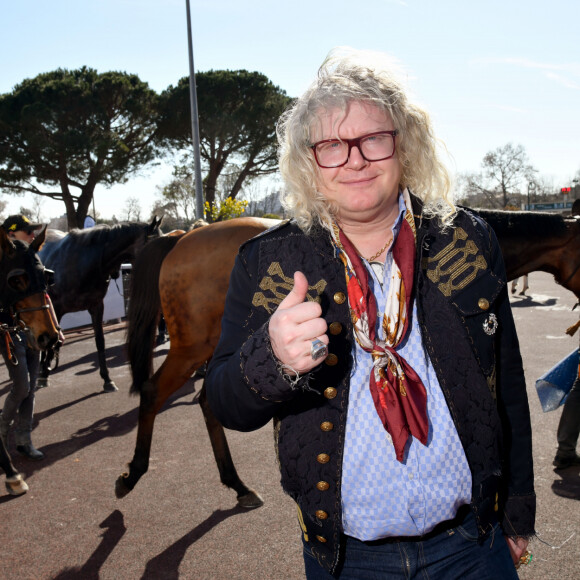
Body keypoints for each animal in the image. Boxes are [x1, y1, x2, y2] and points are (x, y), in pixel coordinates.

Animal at [115, 211, 580, 500]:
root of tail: (180, 238)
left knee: (208, 400)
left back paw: (237, 484)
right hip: (191, 345)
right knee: (155, 392)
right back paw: (134, 471)